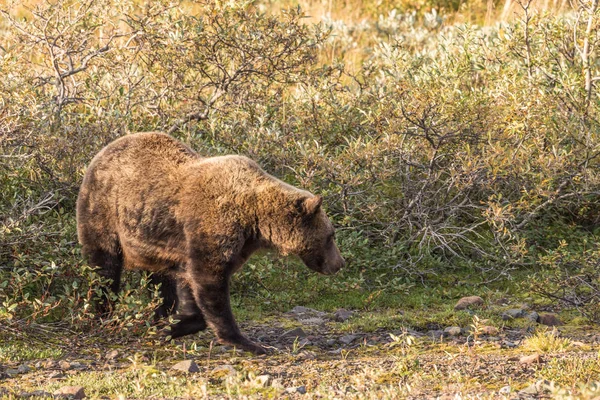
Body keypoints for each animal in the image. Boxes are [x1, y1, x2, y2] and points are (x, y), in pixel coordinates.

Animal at [77, 131, 344, 354]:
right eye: (331, 236)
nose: (340, 263)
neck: (254, 221)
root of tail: (101, 153)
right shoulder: (212, 228)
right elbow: (209, 283)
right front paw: (248, 342)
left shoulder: (220, 245)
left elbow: (188, 282)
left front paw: (173, 325)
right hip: (103, 212)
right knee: (104, 267)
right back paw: (103, 313)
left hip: (149, 240)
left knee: (159, 279)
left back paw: (158, 315)